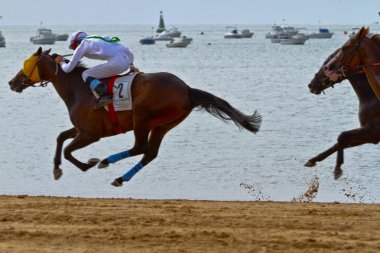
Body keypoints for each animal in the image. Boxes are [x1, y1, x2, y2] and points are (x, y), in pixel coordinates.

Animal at [8, 47, 262, 186]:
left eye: (27, 64)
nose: (11, 82)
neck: (78, 89)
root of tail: (187, 89)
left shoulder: (91, 133)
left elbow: (69, 150)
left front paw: (87, 164)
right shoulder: (81, 129)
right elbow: (61, 138)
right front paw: (56, 170)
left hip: (142, 117)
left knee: (140, 147)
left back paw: (106, 161)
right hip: (164, 125)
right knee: (149, 153)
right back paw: (120, 177)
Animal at [306, 26, 380, 179]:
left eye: (345, 48)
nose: (311, 84)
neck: (372, 97)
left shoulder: (373, 131)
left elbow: (342, 137)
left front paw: (337, 169)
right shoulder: (371, 135)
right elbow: (340, 141)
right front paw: (313, 160)